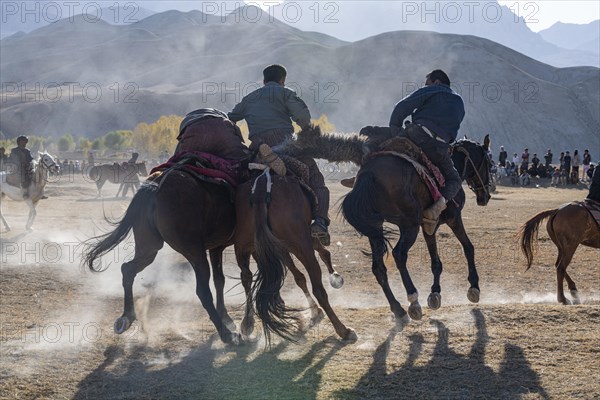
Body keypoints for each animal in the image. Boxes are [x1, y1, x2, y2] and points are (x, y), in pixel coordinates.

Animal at [83, 169, 243, 344]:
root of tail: (155, 186)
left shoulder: (217, 246)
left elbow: (220, 280)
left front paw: (227, 316)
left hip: (149, 248)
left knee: (128, 269)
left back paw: (127, 317)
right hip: (194, 250)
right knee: (202, 290)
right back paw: (226, 334)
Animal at [234, 169, 356, 344]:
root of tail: (260, 191)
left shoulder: (280, 248)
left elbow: (299, 277)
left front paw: (315, 310)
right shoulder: (304, 240)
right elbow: (323, 254)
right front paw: (335, 277)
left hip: (244, 247)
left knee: (246, 277)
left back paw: (247, 323)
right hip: (301, 245)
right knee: (319, 290)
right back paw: (344, 330)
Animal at [340, 136, 490, 324]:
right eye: (490, 163)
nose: (486, 196)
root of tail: (369, 173)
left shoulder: (429, 226)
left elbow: (436, 261)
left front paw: (435, 294)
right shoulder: (453, 218)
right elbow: (468, 247)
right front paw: (474, 287)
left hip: (376, 226)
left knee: (378, 267)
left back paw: (398, 309)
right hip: (409, 225)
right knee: (399, 254)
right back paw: (413, 301)